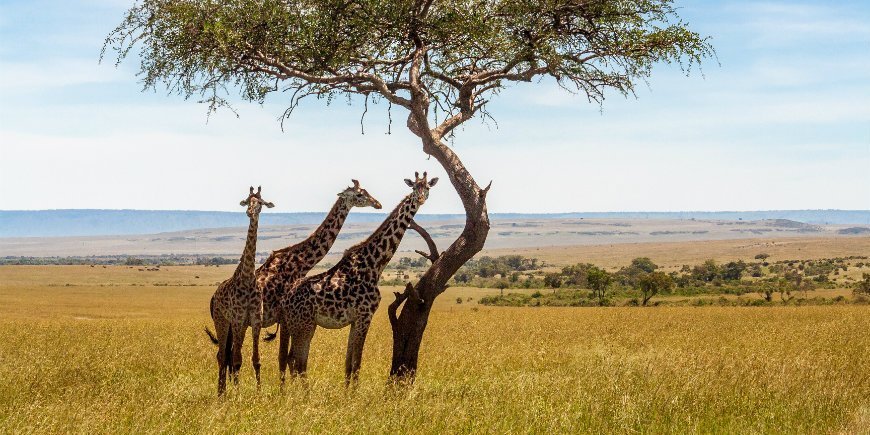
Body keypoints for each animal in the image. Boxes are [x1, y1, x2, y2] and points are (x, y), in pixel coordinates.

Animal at [204, 186, 272, 396]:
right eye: (246, 201)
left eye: (260, 203)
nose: (250, 212)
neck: (248, 278)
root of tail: (213, 297)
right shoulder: (237, 318)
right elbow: (235, 359)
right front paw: (237, 394)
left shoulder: (255, 320)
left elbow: (255, 360)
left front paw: (258, 393)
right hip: (221, 320)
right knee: (223, 355)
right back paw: (221, 393)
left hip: (238, 326)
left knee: (231, 354)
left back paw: (226, 389)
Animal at [278, 173, 440, 384]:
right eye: (414, 188)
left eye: (427, 187)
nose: (420, 199)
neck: (375, 264)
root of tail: (284, 300)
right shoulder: (365, 315)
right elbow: (357, 363)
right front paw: (354, 392)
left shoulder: (355, 320)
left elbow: (348, 364)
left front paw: (347, 391)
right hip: (302, 324)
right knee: (297, 362)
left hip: (303, 324)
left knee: (293, 360)